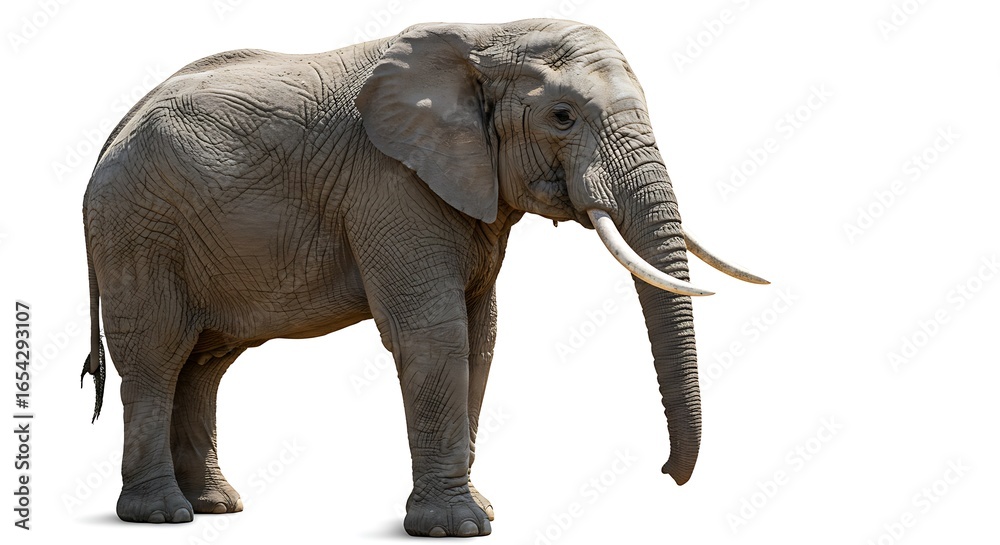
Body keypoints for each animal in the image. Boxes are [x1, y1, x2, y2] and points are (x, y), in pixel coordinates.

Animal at [80, 18, 767, 537]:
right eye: (563, 116)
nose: (666, 475)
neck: (489, 36)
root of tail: (111, 134)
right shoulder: (390, 185)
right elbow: (434, 335)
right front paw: (457, 527)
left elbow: (481, 337)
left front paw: (480, 512)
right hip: (137, 229)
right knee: (158, 355)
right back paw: (161, 515)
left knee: (204, 362)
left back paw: (216, 507)